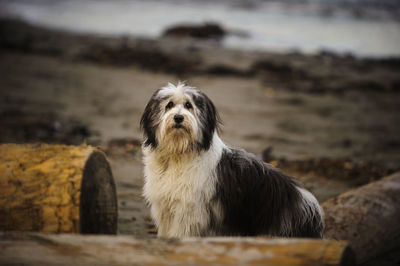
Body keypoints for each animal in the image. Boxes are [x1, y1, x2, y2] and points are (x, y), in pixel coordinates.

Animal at [139, 82, 324, 238]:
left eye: (188, 105)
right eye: (169, 105)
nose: (178, 117)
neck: (178, 153)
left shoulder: (189, 210)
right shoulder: (166, 207)